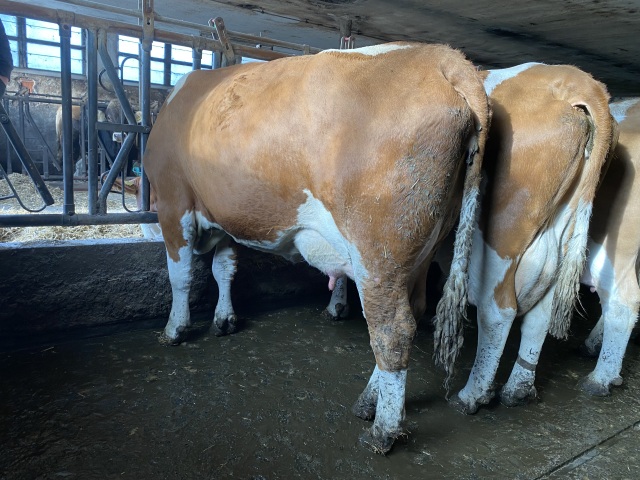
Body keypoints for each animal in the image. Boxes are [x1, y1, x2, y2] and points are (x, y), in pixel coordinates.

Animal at [144, 42, 490, 454]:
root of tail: (445, 58)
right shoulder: (225, 214)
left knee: (392, 329)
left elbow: (180, 276)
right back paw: (368, 402)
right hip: (422, 248)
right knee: (414, 310)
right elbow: (223, 270)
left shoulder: (172, 200)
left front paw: (174, 329)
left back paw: (383, 429)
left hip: (377, 250)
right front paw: (224, 320)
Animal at [432, 61, 616, 412]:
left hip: (503, 235)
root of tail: (580, 81)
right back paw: (516, 388)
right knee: (541, 314)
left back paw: (472, 394)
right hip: (559, 237)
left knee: (498, 310)